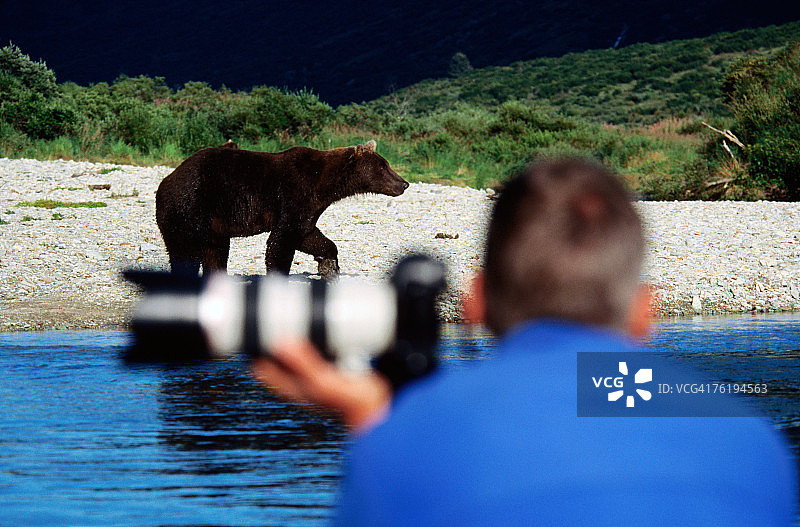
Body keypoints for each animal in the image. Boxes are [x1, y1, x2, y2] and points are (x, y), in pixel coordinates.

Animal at [155, 140, 408, 277]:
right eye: (383, 166)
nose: (404, 183)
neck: (324, 184)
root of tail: (165, 182)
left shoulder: (309, 207)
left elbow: (310, 236)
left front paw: (328, 266)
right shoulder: (293, 194)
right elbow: (281, 241)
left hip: (214, 225)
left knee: (215, 253)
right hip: (189, 205)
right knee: (186, 251)